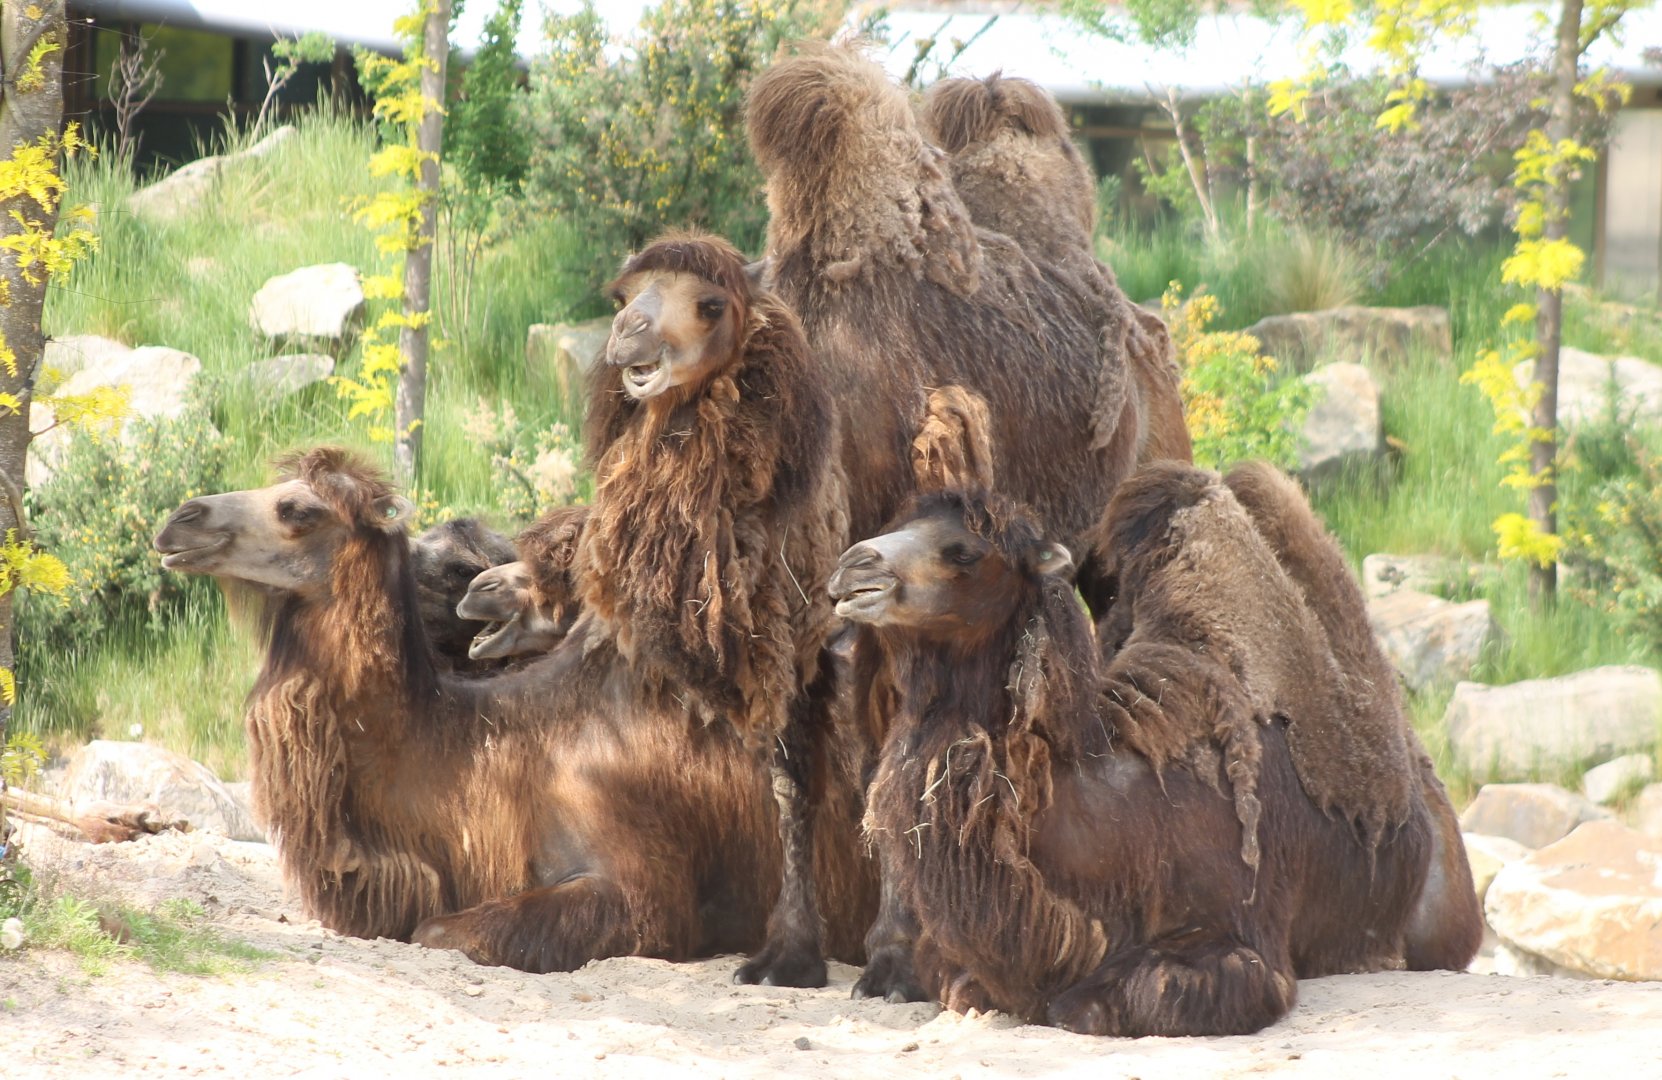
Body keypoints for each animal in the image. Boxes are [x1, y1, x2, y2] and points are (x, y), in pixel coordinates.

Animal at [830, 466, 1478, 1036]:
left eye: (964, 551)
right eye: (898, 523)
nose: (852, 566)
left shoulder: (1243, 941)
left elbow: (1091, 1006)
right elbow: (964, 988)